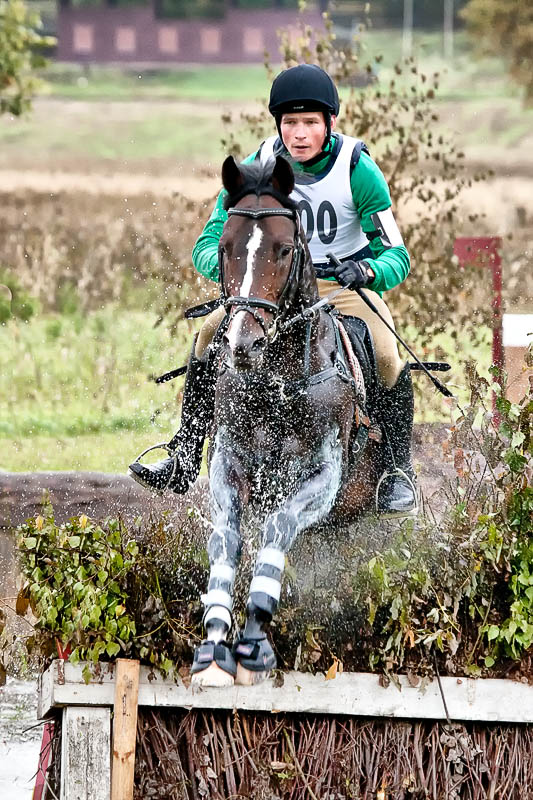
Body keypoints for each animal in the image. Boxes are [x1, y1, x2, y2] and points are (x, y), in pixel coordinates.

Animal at [192, 155, 382, 688]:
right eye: (224, 247)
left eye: (282, 249)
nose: (243, 344)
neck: (273, 378)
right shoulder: (230, 463)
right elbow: (227, 538)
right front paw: (214, 643)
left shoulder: (322, 478)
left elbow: (278, 528)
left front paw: (254, 641)